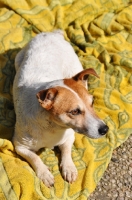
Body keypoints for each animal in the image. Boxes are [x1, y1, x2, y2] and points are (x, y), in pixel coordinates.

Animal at [12, 29, 109, 188]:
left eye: (92, 102)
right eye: (75, 111)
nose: (105, 129)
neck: (53, 127)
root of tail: (52, 34)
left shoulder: (69, 137)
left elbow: (66, 151)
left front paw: (69, 168)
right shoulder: (20, 146)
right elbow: (34, 157)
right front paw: (45, 174)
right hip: (18, 59)